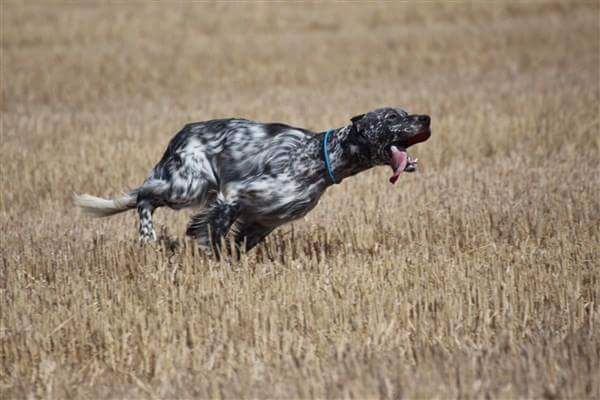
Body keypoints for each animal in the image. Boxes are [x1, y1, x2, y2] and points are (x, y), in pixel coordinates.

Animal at [75, 106, 432, 256]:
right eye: (392, 117)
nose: (427, 118)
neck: (321, 155)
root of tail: (180, 134)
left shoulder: (264, 220)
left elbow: (237, 240)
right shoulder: (236, 193)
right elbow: (213, 231)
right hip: (187, 185)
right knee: (143, 197)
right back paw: (147, 237)